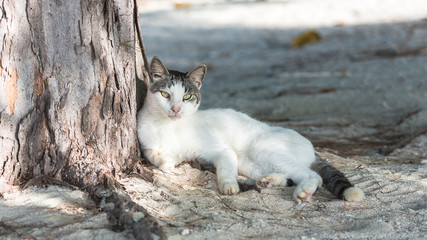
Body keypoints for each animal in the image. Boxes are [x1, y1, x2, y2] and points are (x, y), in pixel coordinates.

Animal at [137, 57, 364, 202]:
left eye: (186, 97)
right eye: (165, 95)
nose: (175, 109)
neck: (168, 127)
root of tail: (311, 146)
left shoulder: (223, 151)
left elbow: (226, 169)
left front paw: (229, 186)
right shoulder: (147, 145)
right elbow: (157, 157)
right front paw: (166, 162)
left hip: (264, 150)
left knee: (313, 175)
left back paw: (302, 192)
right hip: (252, 164)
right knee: (292, 175)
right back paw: (270, 181)